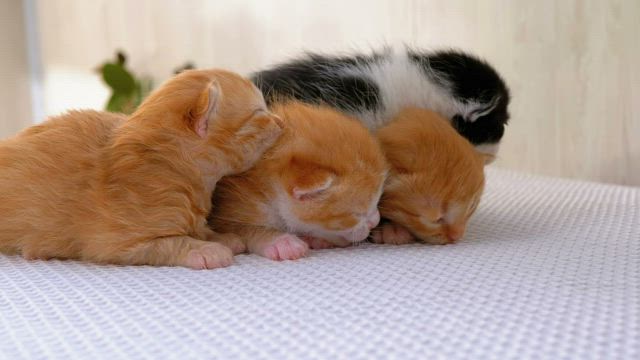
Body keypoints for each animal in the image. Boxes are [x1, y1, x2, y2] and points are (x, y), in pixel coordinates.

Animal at [0, 69, 282, 268]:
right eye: (259, 113)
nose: (280, 121)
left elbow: (201, 230)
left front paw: (219, 237)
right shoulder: (120, 242)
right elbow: (171, 243)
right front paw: (206, 249)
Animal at [210, 100, 388, 260]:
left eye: (378, 200)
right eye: (357, 214)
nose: (376, 221)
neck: (268, 193)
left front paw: (314, 239)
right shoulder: (227, 212)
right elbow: (244, 230)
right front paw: (281, 242)